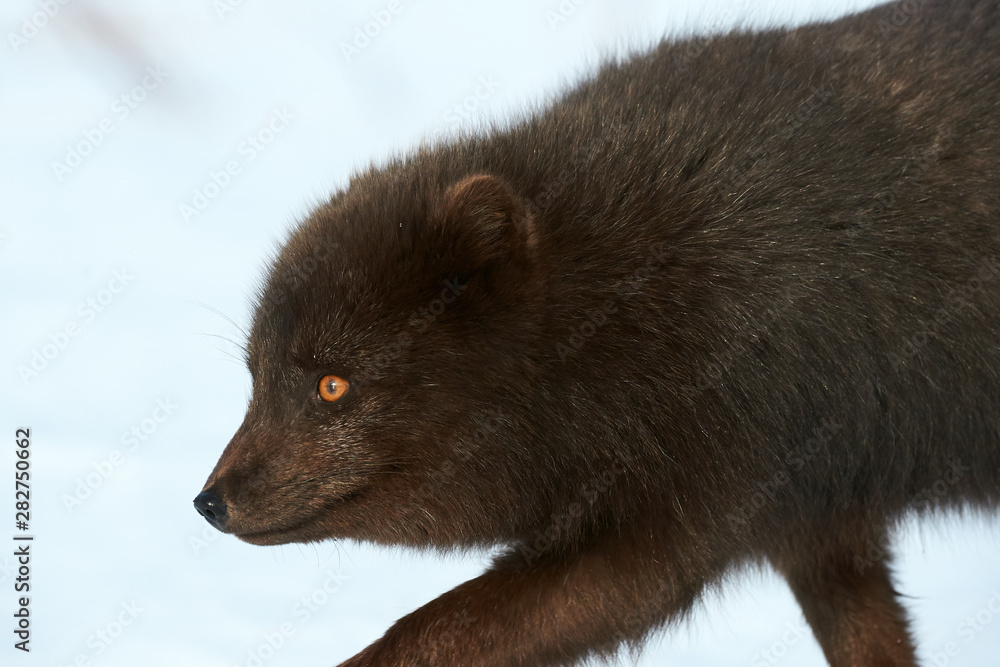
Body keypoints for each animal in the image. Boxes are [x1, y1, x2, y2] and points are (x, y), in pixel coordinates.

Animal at [193, 2, 1000, 664]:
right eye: (256, 377)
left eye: (332, 385)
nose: (208, 502)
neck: (627, 299)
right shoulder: (820, 526)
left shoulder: (675, 532)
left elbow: (426, 634)